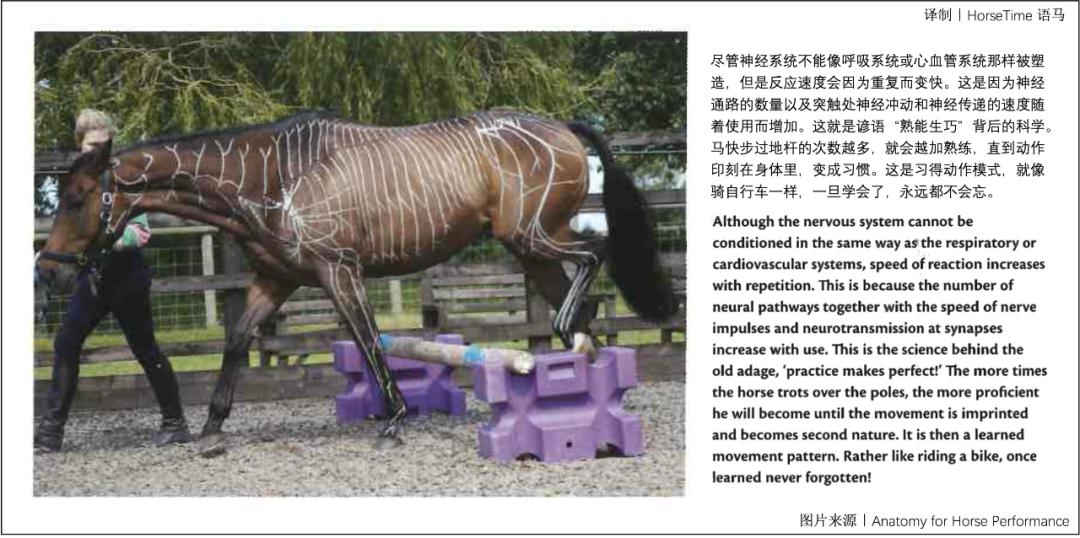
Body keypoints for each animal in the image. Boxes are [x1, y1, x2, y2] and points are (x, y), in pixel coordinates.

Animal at [36, 109, 676, 455]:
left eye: (77, 197)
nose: (48, 270)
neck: (275, 176)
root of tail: (562, 128)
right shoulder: (277, 277)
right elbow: (237, 340)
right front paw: (212, 426)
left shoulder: (338, 269)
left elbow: (367, 338)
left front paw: (393, 419)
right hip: (531, 248)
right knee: (582, 309)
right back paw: (575, 380)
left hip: (531, 235)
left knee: (593, 256)